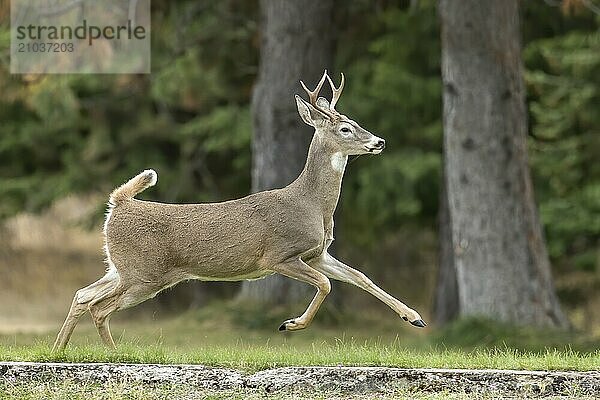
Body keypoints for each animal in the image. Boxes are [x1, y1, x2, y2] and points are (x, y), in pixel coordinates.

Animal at [52, 72, 426, 350]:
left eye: (354, 121)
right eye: (345, 128)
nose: (379, 141)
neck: (312, 205)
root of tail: (120, 203)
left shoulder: (318, 253)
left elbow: (361, 277)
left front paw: (413, 316)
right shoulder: (278, 255)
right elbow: (325, 285)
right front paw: (290, 324)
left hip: (122, 268)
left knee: (83, 295)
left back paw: (59, 350)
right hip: (144, 274)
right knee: (99, 308)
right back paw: (113, 354)